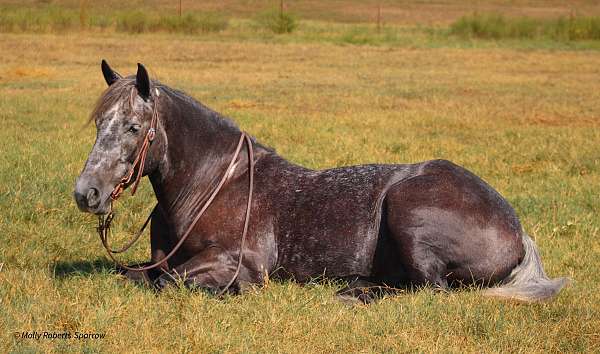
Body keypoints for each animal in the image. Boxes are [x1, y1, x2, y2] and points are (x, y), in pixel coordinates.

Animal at [74, 59, 568, 302]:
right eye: (98, 124)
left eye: (133, 128)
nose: (86, 194)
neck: (212, 186)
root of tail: (517, 231)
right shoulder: (155, 262)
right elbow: (140, 276)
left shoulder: (239, 262)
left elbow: (171, 282)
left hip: (408, 210)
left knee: (432, 291)